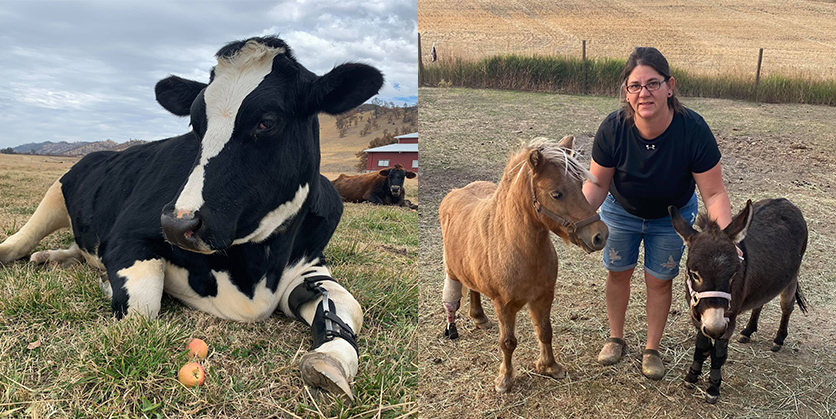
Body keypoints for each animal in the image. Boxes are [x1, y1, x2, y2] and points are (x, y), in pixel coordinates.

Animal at [0, 36, 383, 400]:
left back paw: (50, 257)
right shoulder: (129, 235)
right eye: (195, 123)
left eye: (267, 121)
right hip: (58, 191)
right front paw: (111, 285)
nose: (178, 225)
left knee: (77, 249)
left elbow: (349, 306)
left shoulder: (308, 263)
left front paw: (333, 359)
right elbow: (143, 306)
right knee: (24, 238)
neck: (255, 271)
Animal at [438, 136, 609, 393]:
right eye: (556, 193)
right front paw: (505, 380)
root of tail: (454, 193)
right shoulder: (504, 306)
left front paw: (550, 366)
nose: (600, 236)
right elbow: (508, 342)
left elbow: (545, 331)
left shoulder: (544, 297)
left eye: (580, 186)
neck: (520, 250)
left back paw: (479, 317)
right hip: (452, 270)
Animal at [669, 198, 808, 403]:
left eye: (733, 275)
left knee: (787, 307)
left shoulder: (729, 320)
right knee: (760, 302)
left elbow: (718, 354)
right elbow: (701, 346)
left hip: (791, 277)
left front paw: (713, 388)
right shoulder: (698, 318)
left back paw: (779, 339)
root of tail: (786, 202)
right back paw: (748, 331)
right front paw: (692, 376)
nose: (715, 328)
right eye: (694, 274)